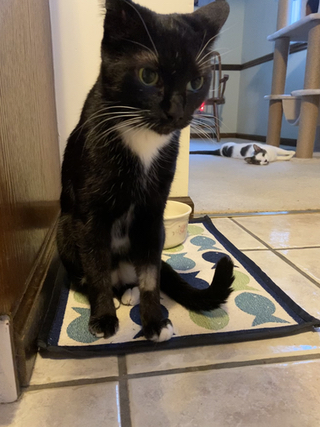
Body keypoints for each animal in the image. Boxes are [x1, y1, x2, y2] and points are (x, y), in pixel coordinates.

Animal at [56, 0, 234, 342]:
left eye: (196, 82)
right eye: (147, 75)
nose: (176, 111)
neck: (142, 137)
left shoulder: (153, 213)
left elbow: (151, 275)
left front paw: (154, 322)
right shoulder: (90, 215)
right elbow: (96, 269)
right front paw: (103, 318)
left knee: (140, 273)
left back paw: (130, 292)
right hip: (65, 230)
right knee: (88, 272)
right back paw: (111, 295)